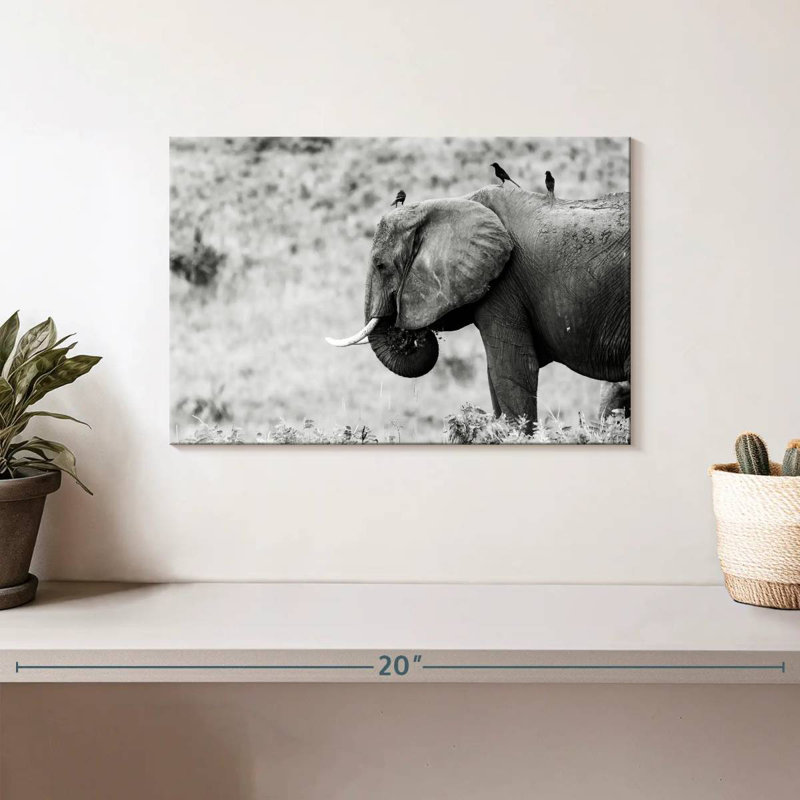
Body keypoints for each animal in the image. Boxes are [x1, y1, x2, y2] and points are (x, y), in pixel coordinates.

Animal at [327, 185, 630, 430]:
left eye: (380, 265)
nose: (408, 334)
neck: (453, 203)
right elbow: (494, 374)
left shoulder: (505, 286)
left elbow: (511, 369)